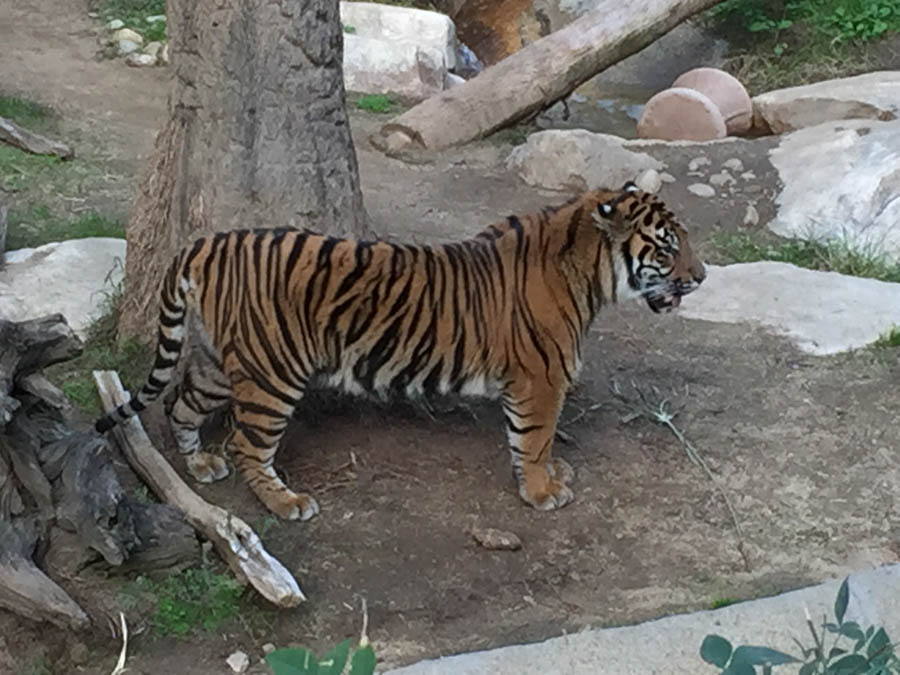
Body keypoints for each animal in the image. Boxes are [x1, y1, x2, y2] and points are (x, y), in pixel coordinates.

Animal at [95, 181, 708, 524]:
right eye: (667, 247)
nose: (702, 277)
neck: (590, 273)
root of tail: (205, 243)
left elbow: (534, 440)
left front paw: (551, 474)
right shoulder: (540, 378)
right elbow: (534, 437)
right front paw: (541, 492)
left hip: (219, 362)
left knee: (178, 403)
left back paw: (199, 463)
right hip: (272, 374)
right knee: (249, 446)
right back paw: (286, 504)